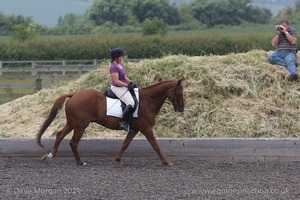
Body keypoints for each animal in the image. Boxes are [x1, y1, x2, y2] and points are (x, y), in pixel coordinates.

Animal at [36, 76, 184, 166]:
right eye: (179, 93)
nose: (181, 109)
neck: (147, 101)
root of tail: (74, 95)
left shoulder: (134, 129)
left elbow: (125, 144)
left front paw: (118, 160)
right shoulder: (146, 128)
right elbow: (155, 145)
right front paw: (166, 162)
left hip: (72, 123)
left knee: (60, 135)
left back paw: (50, 156)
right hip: (80, 126)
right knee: (73, 142)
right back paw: (80, 162)